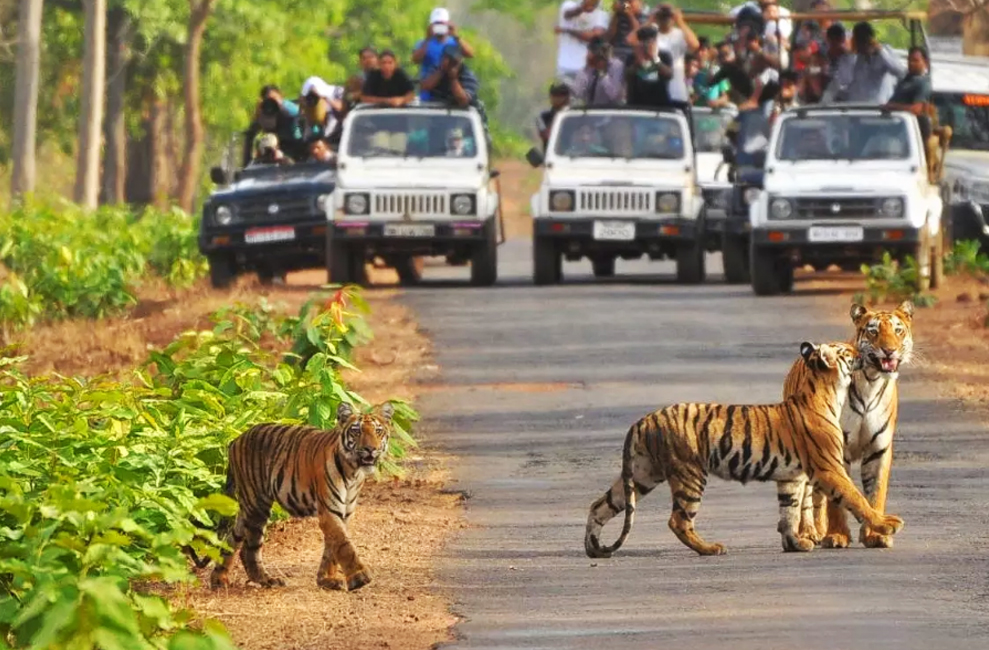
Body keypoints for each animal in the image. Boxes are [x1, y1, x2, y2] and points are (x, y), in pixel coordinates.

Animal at [206, 398, 394, 588]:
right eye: (356, 431)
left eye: (378, 431)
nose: (370, 449)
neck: (353, 472)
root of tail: (236, 439)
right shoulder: (329, 511)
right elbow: (343, 545)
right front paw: (359, 577)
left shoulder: (345, 513)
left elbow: (332, 548)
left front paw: (327, 579)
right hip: (257, 504)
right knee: (249, 548)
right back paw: (266, 580)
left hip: (247, 507)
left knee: (232, 539)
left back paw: (219, 579)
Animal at [584, 340, 908, 556]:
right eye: (846, 352)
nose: (862, 351)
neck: (827, 392)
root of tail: (642, 420)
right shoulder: (829, 468)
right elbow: (856, 499)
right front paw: (887, 524)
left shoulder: (791, 477)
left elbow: (789, 511)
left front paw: (794, 544)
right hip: (689, 474)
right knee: (678, 520)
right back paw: (710, 548)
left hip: (643, 473)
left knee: (600, 505)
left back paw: (593, 548)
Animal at [792, 298, 916, 548]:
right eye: (874, 331)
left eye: (898, 330)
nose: (889, 350)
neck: (872, 381)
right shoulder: (835, 449)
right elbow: (838, 499)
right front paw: (837, 535)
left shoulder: (879, 448)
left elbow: (875, 493)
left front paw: (876, 535)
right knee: (807, 497)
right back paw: (808, 533)